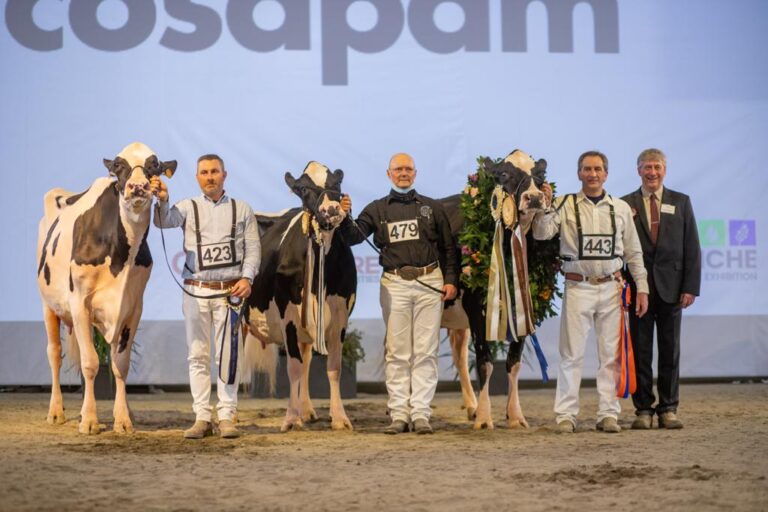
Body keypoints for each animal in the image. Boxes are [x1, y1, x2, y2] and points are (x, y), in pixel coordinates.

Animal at [36, 142, 176, 434]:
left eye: (154, 165)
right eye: (119, 166)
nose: (138, 187)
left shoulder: (133, 306)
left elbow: (120, 364)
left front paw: (123, 419)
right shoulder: (79, 302)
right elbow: (90, 363)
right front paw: (89, 420)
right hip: (48, 304)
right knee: (54, 353)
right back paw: (56, 412)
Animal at [244, 161, 356, 432]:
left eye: (336, 184)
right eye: (304, 189)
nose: (331, 210)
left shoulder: (340, 317)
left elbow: (333, 367)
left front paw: (339, 417)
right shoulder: (290, 317)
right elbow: (293, 368)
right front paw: (291, 419)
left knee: (306, 359)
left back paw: (306, 410)